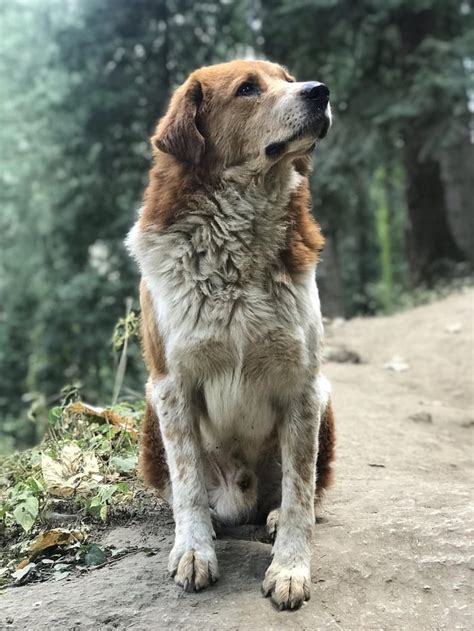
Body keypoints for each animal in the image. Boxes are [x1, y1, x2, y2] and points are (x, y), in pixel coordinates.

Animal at [126, 59, 334, 612]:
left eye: (288, 78)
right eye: (247, 89)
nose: (321, 91)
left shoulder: (304, 384)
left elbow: (300, 490)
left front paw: (290, 568)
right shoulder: (171, 385)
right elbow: (187, 483)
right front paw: (193, 552)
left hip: (326, 400)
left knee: (300, 490)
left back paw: (274, 515)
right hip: (149, 412)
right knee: (185, 490)